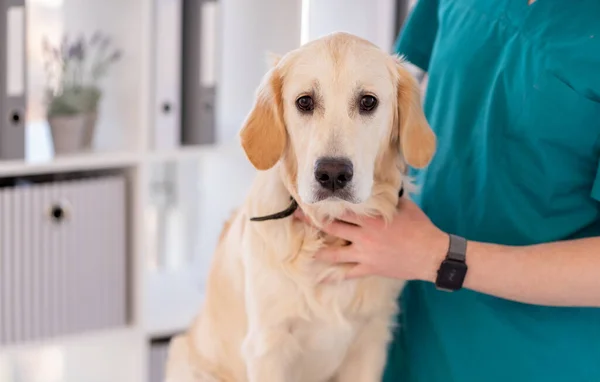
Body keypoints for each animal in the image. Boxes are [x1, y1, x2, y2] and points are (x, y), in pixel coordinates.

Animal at [164, 31, 436, 380]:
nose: (332, 174)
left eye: (368, 102)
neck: (326, 234)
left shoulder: (371, 340)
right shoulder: (267, 346)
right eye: (304, 102)